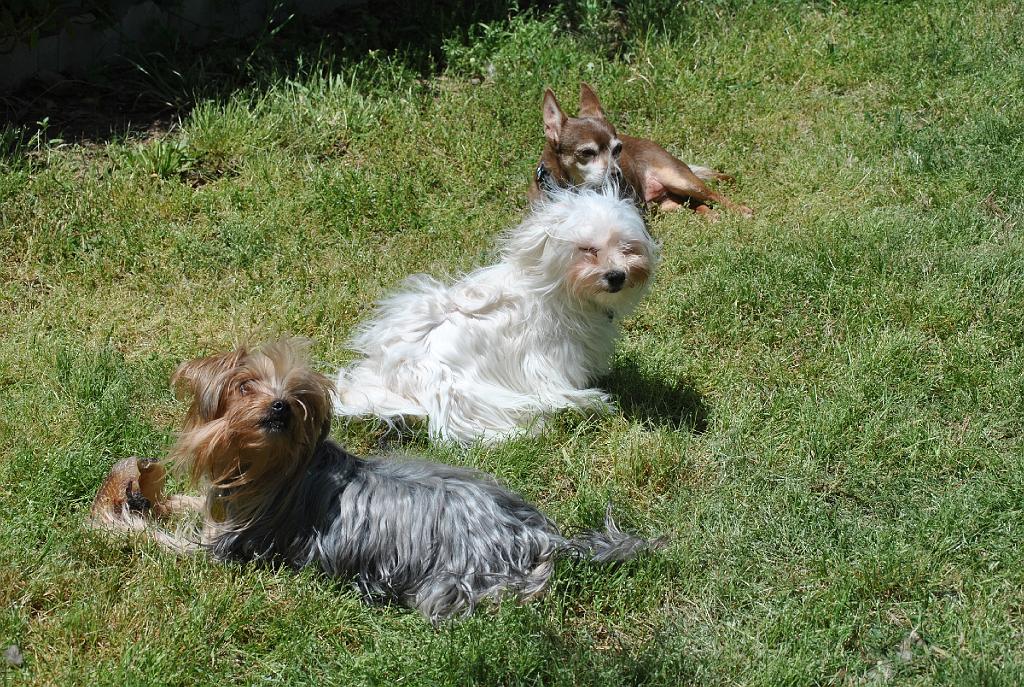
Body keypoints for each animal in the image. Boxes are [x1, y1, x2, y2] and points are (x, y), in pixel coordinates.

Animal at [331, 185, 659, 444]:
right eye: (588, 249)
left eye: (627, 246)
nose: (616, 275)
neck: (559, 290)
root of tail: (394, 382)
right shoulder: (549, 362)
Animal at [528, 83, 753, 219]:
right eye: (587, 153)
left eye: (617, 149)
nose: (617, 173)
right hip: (669, 203)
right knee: (694, 204)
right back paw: (710, 215)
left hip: (681, 180)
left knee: (712, 195)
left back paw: (740, 210)